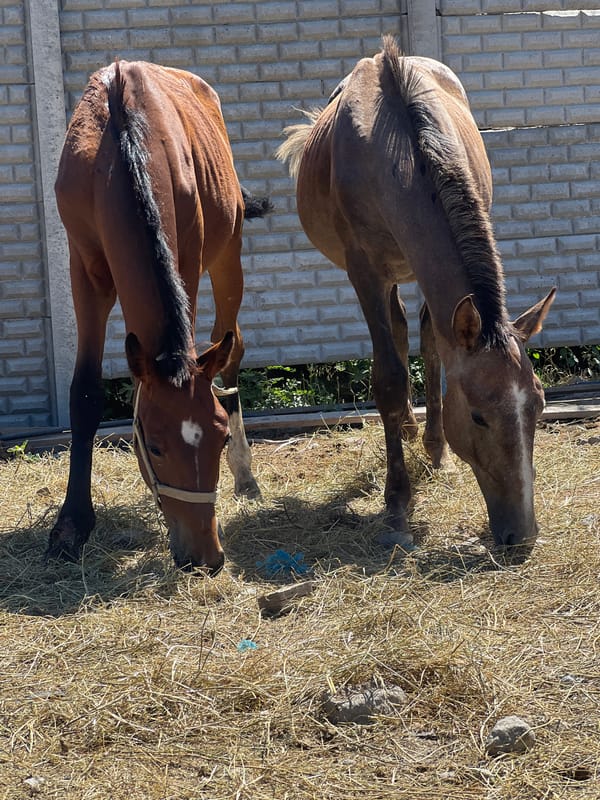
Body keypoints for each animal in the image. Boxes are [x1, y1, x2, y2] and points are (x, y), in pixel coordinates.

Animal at [49, 60, 270, 573]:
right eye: (153, 445)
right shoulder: (84, 271)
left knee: (231, 344)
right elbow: (84, 393)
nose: (205, 556)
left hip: (228, 253)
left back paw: (245, 476)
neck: (119, 147)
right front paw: (71, 526)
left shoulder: (186, 262)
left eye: (219, 439)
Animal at [277, 36, 555, 557]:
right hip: (383, 274)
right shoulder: (364, 272)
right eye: (479, 417)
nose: (522, 537)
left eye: (540, 405)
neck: (392, 148)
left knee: (415, 330)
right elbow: (388, 378)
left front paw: (435, 445)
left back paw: (420, 435)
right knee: (396, 330)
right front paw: (397, 502)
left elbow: (433, 346)